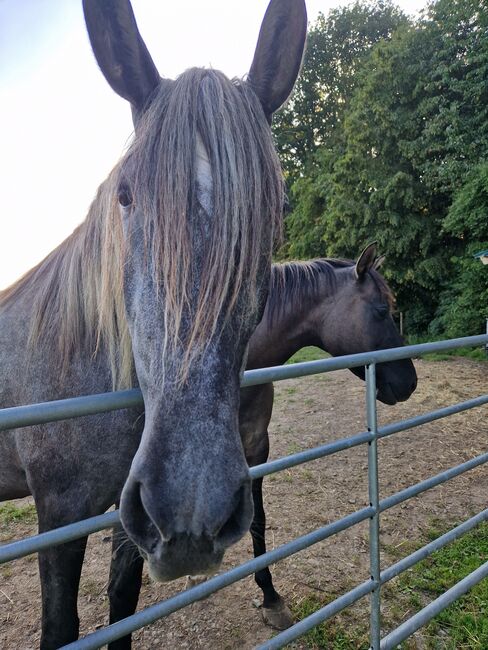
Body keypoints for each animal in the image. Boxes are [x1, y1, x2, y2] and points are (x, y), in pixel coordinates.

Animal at [0, 2, 306, 644]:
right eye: (125, 195)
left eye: (277, 209)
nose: (193, 513)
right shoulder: (58, 516)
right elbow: (60, 628)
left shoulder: (130, 511)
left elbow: (122, 603)